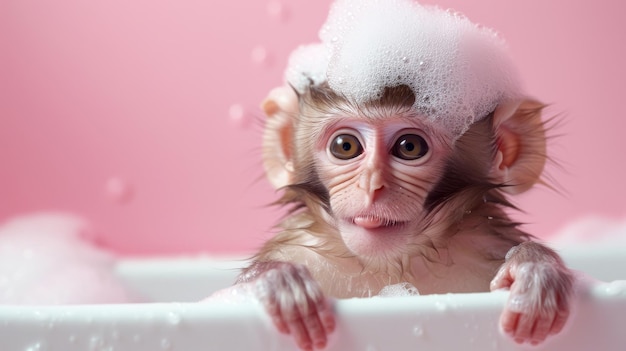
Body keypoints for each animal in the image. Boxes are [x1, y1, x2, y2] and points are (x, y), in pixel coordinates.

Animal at [227, 1, 572, 350]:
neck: (391, 268)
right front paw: (277, 281)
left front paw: (535, 270)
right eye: (345, 146)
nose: (371, 185)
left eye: (409, 147)